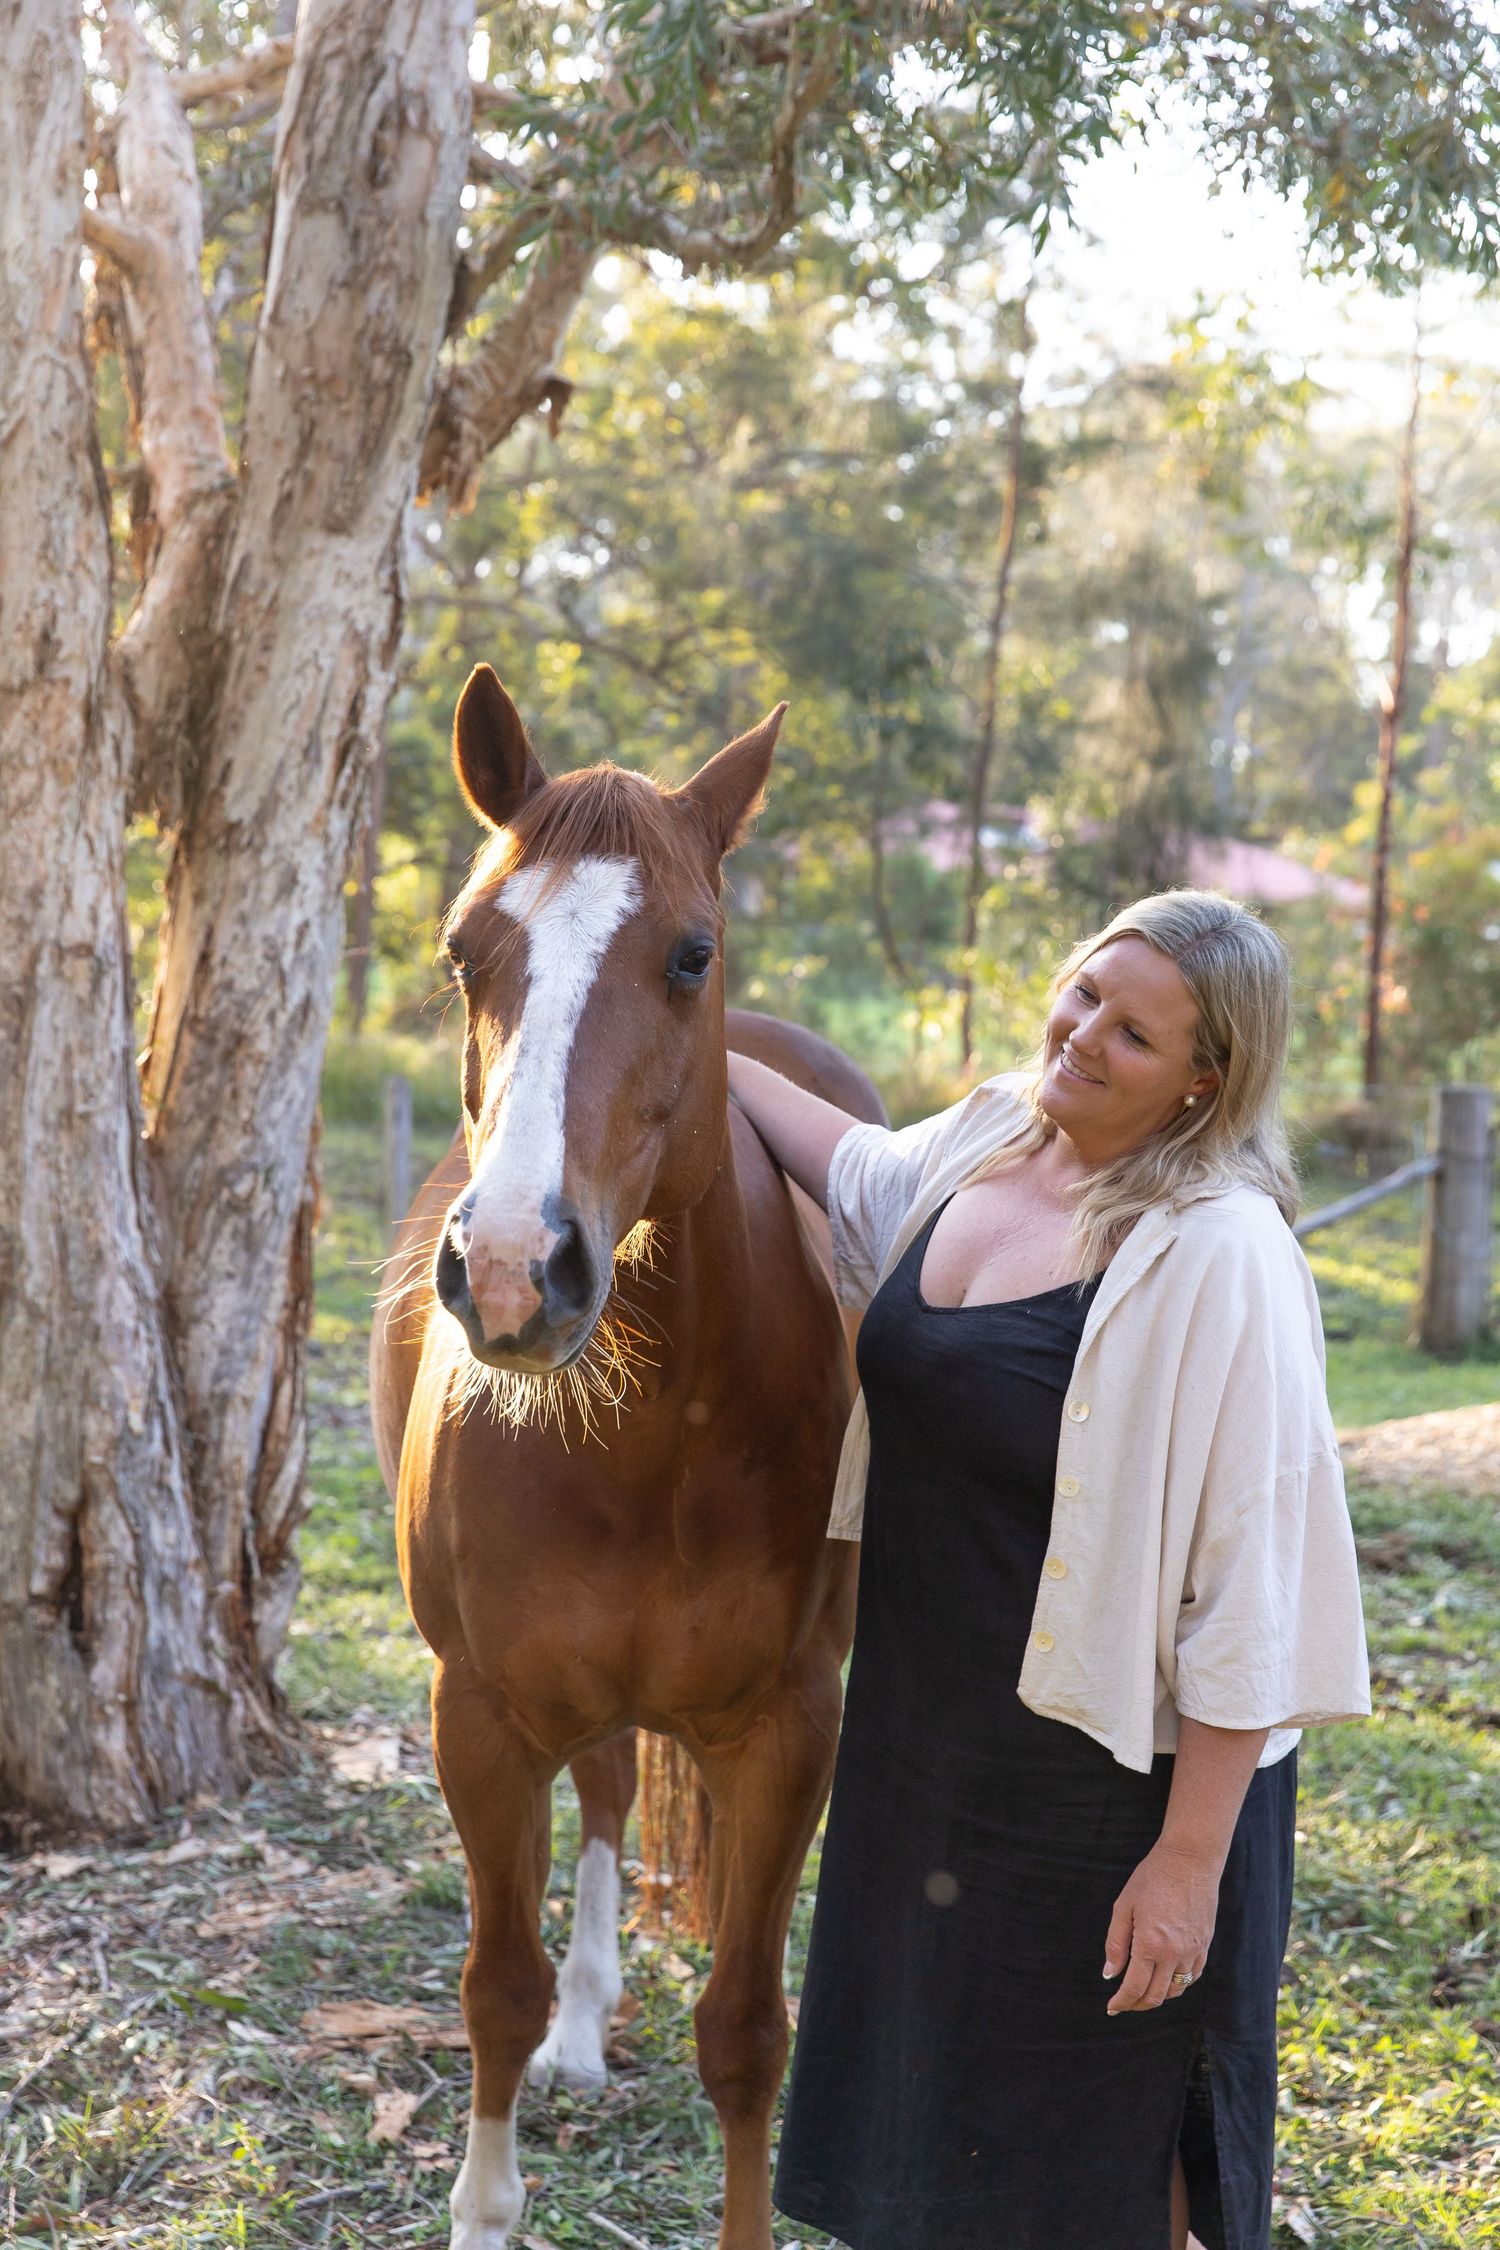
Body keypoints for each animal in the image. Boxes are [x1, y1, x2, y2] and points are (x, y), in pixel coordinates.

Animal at [369, 664, 886, 2250]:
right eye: (462, 951)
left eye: (688, 954)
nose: (514, 1272)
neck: (648, 1436)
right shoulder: (478, 1717)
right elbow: (494, 1988)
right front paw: (487, 2204)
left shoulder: (788, 1729)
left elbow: (747, 2032)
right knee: (598, 1801)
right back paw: (587, 2025)